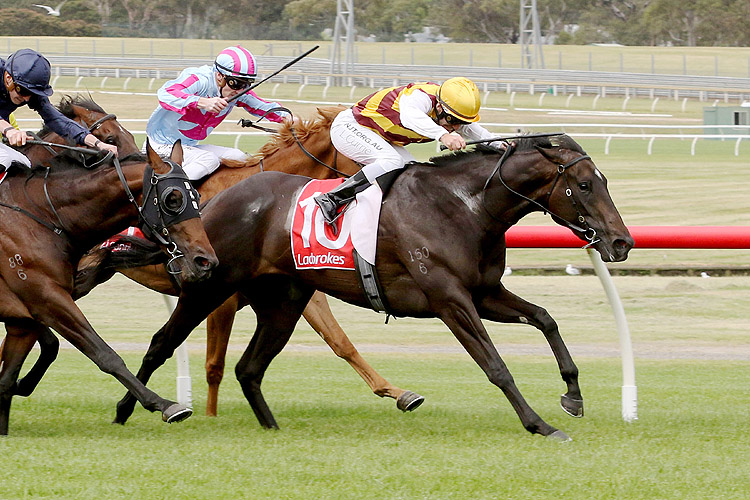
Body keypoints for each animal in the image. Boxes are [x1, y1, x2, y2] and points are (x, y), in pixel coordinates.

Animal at [0, 141, 217, 434]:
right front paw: (166, 405)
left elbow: (8, 379)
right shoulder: (47, 298)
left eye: (195, 193)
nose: (205, 261)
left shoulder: (24, 319)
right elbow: (104, 353)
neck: (42, 215)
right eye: (173, 199)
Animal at [73, 106, 426, 418]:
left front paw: (400, 394)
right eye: (373, 151)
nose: (404, 181)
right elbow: (214, 364)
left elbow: (340, 341)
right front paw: (210, 415)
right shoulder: (223, 298)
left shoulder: (299, 283)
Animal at [110, 135, 636, 440]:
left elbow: (546, 320)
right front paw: (539, 424)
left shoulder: (484, 293)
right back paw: (132, 410)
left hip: (285, 301)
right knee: (163, 343)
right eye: (584, 185)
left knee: (249, 367)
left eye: (604, 179)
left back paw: (272, 429)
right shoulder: (450, 300)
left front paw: (573, 395)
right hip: (211, 285)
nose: (622, 241)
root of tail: (212, 201)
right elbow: (496, 366)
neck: (466, 205)